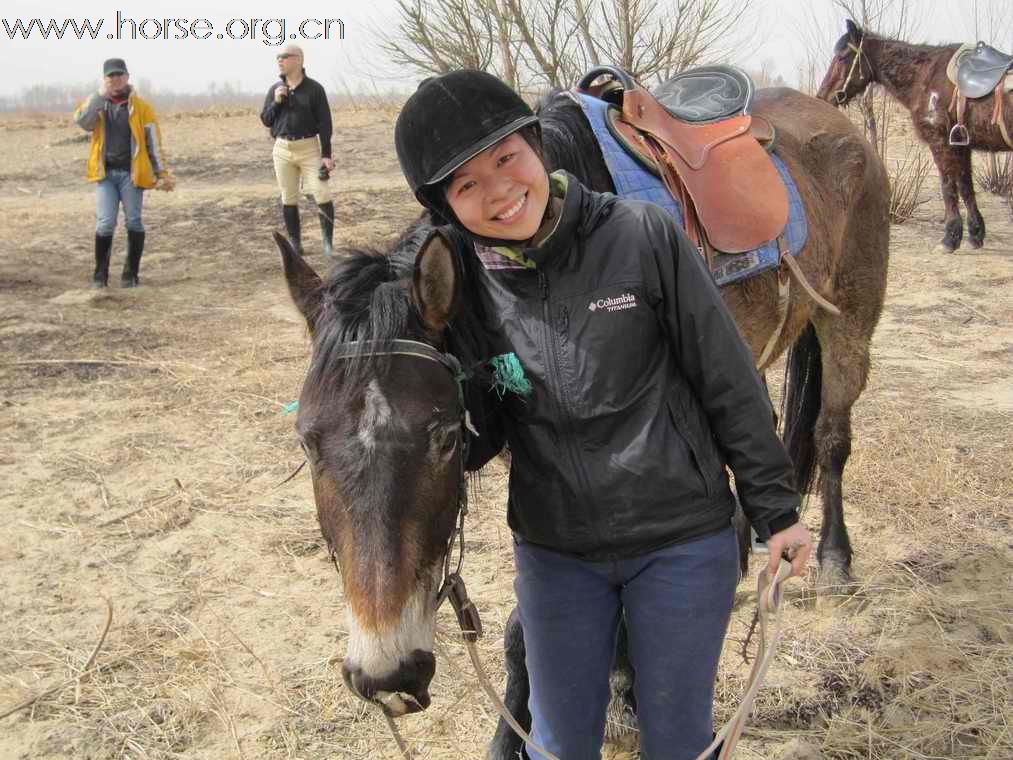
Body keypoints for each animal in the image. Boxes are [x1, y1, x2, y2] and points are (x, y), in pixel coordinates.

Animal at [275, 71, 887, 757]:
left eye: (443, 437)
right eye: (307, 444)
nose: (387, 675)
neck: (547, 253)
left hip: (849, 321)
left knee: (831, 439)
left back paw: (834, 559)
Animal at [818, 20, 1013, 253]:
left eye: (842, 57)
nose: (822, 97)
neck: (924, 76)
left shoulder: (940, 142)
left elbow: (948, 186)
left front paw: (950, 238)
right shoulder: (960, 145)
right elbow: (966, 187)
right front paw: (975, 234)